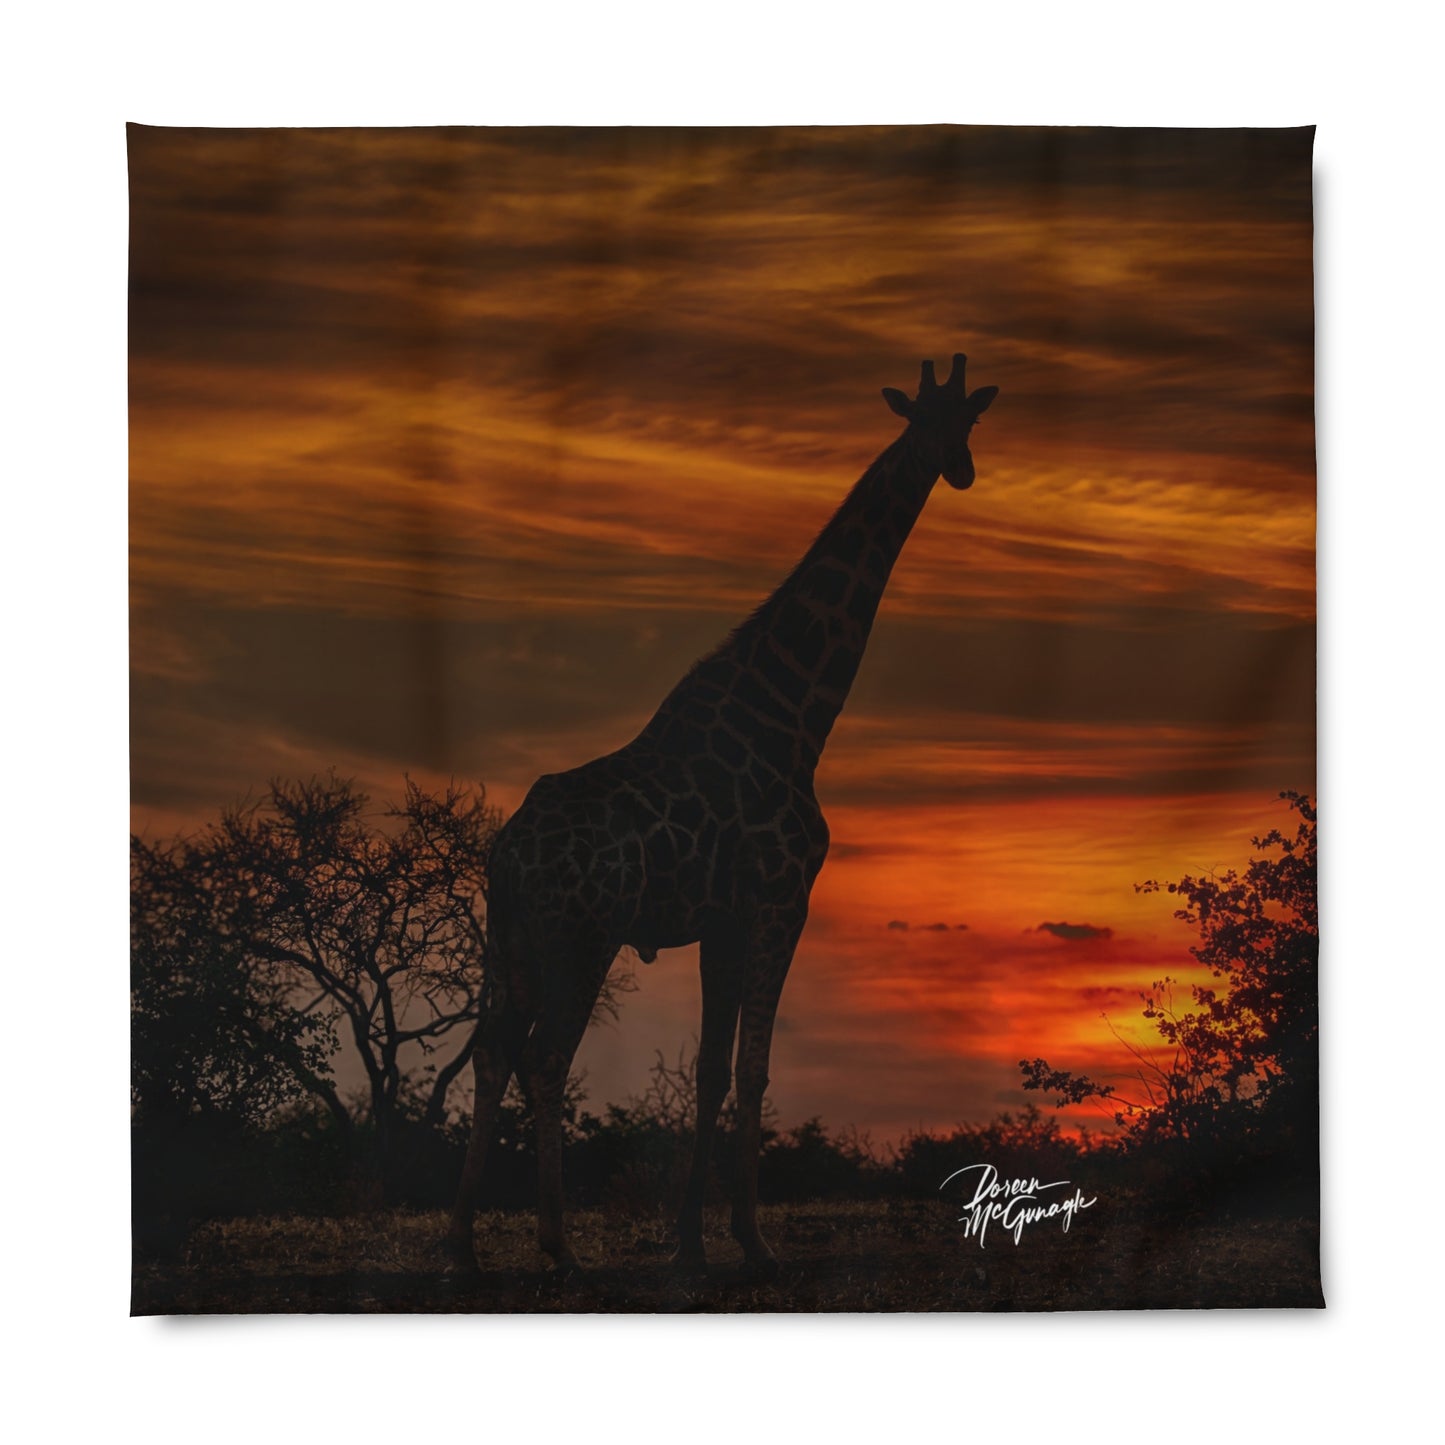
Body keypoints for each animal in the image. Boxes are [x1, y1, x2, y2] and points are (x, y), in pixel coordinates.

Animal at [448, 353, 998, 1276]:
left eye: (967, 421)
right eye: (927, 421)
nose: (956, 469)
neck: (795, 717)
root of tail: (508, 853)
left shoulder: (722, 920)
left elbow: (709, 1069)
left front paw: (691, 1240)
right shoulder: (781, 902)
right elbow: (753, 1070)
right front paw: (753, 1238)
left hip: (511, 935)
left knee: (491, 1052)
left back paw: (461, 1247)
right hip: (581, 933)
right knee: (545, 1058)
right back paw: (558, 1245)